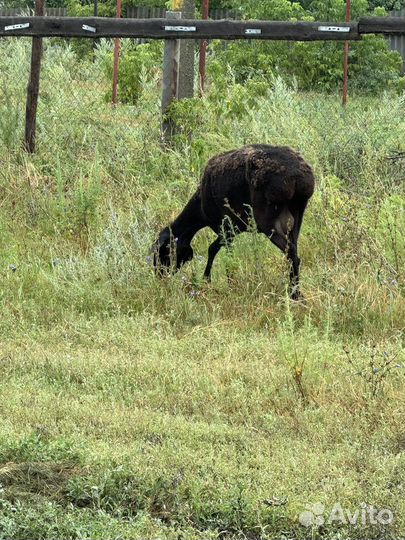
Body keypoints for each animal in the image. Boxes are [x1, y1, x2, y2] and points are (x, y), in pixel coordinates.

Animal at [153, 143, 314, 300]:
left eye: (164, 252)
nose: (160, 277)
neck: (200, 209)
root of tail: (295, 176)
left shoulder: (227, 227)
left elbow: (215, 250)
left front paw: (214, 280)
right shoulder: (236, 228)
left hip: (267, 219)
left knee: (290, 251)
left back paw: (294, 295)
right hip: (297, 212)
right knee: (294, 251)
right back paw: (297, 293)